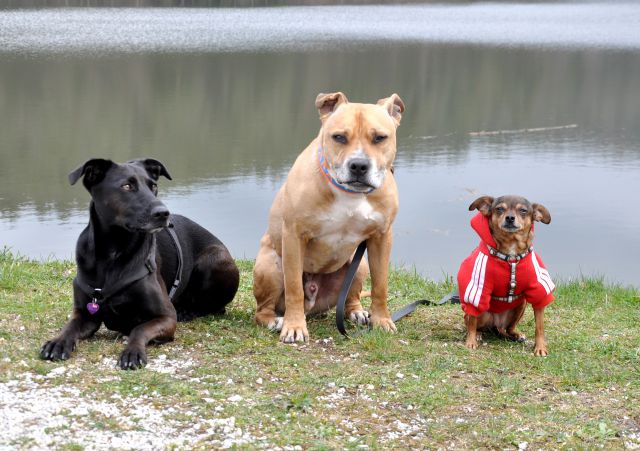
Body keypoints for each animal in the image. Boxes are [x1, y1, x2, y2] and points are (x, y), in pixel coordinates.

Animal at [40, 159, 240, 370]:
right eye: (126, 186)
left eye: (153, 186)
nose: (163, 213)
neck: (113, 252)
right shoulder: (86, 314)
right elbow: (70, 326)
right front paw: (58, 342)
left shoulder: (166, 317)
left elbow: (139, 328)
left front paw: (132, 352)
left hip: (214, 260)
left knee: (216, 307)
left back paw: (188, 311)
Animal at [251, 93, 404, 344]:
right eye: (339, 137)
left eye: (380, 138)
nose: (359, 165)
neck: (350, 194)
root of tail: (313, 305)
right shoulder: (294, 235)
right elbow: (294, 288)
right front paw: (294, 327)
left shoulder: (382, 236)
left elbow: (381, 284)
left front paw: (381, 320)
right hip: (270, 266)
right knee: (264, 309)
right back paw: (275, 320)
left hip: (359, 265)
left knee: (351, 297)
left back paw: (357, 312)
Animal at [456, 194, 556, 356]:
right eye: (499, 209)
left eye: (523, 210)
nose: (509, 218)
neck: (511, 253)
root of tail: (497, 325)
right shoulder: (478, 290)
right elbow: (472, 322)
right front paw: (470, 342)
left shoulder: (538, 291)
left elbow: (539, 326)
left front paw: (540, 347)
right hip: (484, 312)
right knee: (474, 322)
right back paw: (478, 334)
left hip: (521, 305)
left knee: (509, 328)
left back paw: (516, 334)